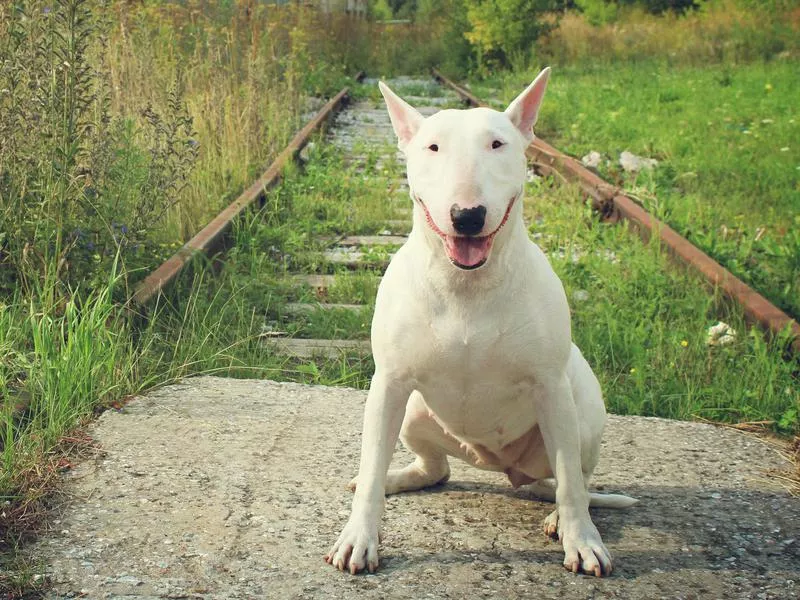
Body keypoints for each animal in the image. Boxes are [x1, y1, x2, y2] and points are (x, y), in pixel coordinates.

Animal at [322, 69, 636, 576]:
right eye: (432, 147)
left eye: (497, 144)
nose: (467, 217)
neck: (465, 286)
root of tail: (497, 464)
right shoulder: (389, 384)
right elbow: (369, 468)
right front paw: (358, 538)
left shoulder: (550, 387)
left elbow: (571, 481)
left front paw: (584, 542)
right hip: (414, 413)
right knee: (435, 469)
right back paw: (396, 477)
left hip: (581, 416)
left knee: (576, 478)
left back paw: (560, 519)